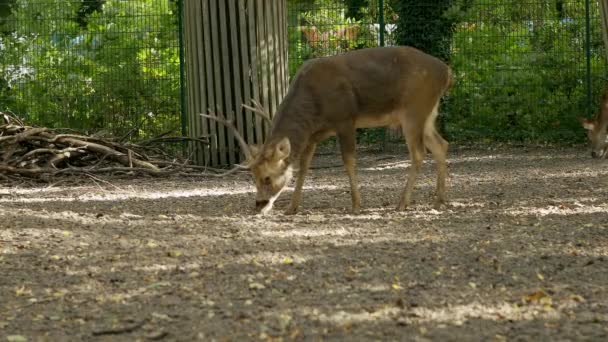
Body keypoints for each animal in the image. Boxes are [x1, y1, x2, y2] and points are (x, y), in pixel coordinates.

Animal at [208, 46, 452, 215]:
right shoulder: (313, 135)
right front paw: (292, 207)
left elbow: (349, 161)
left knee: (419, 153)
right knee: (442, 144)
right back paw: (439, 200)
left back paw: (402, 203)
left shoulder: (345, 119)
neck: (314, 107)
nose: (259, 205)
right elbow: (304, 168)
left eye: (267, 178)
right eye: (253, 177)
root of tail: (447, 72)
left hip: (414, 110)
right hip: (428, 114)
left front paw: (356, 205)